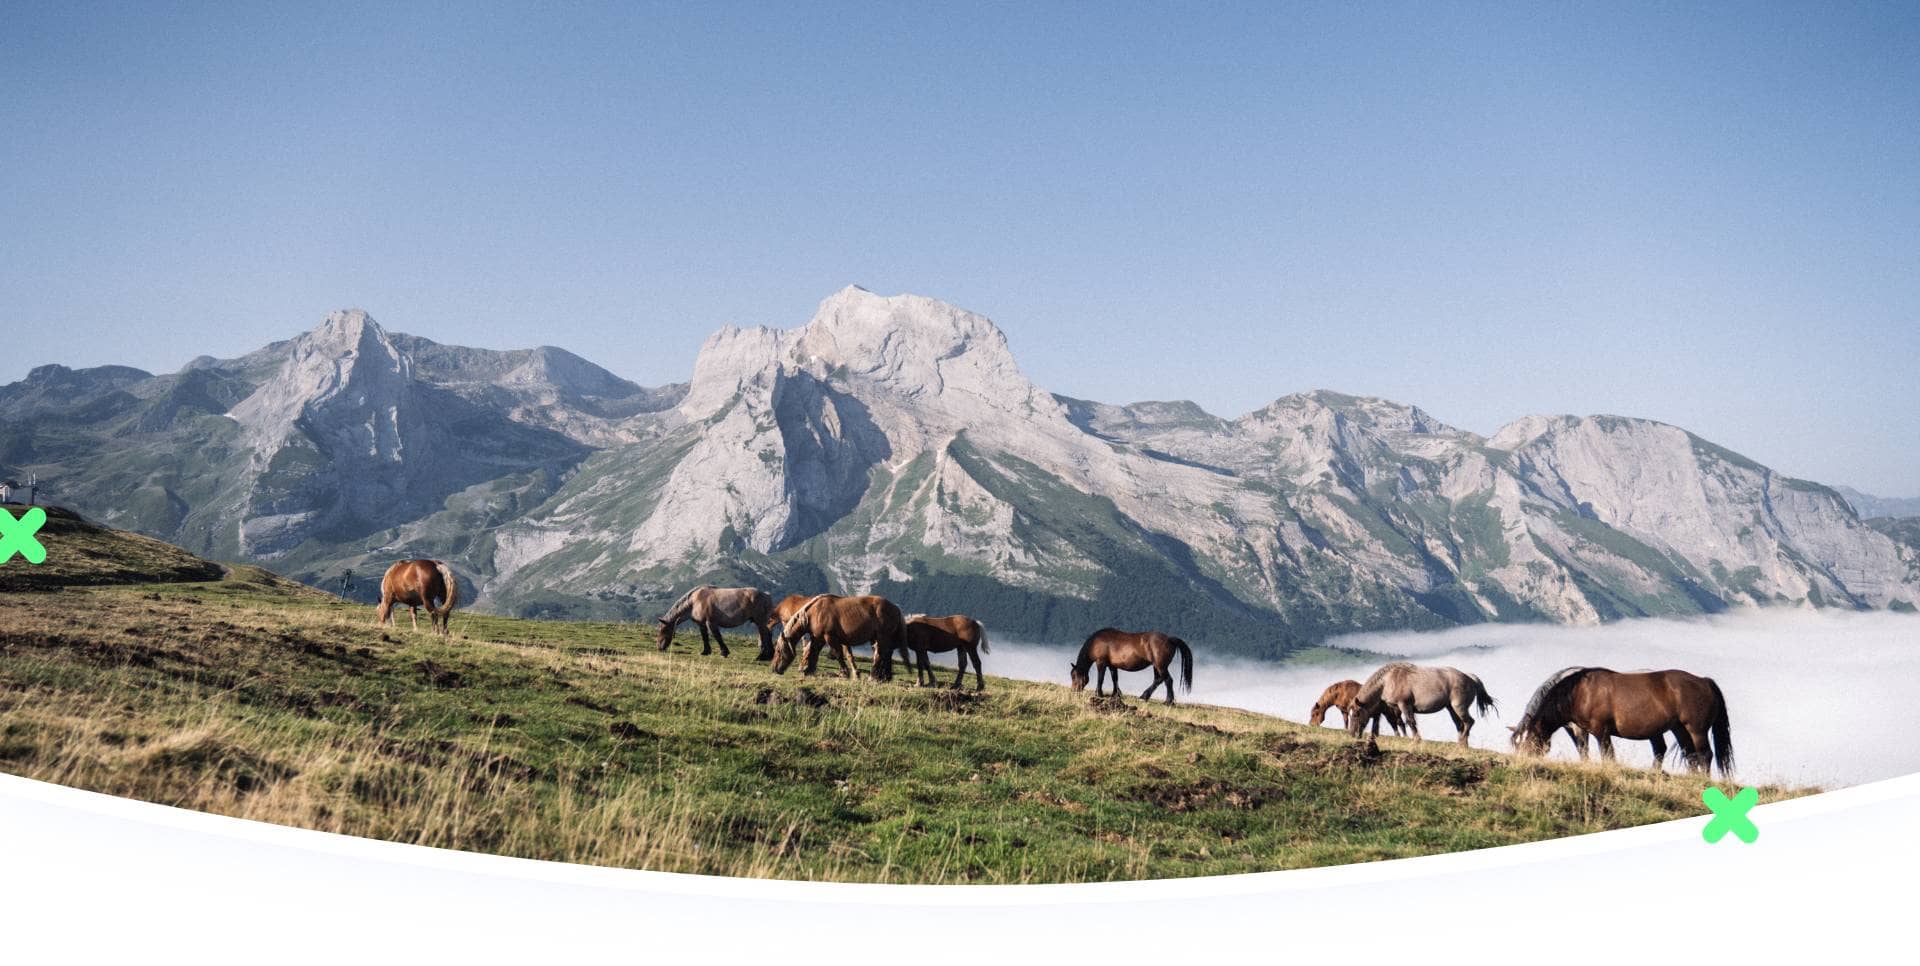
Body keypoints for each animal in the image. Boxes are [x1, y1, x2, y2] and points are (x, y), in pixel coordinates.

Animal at [768, 595, 910, 683]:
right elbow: (813, 652)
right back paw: (884, 677)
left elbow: (838, 655)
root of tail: (896, 608)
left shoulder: (829, 637)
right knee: (886, 655)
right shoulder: (818, 638)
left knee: (879, 655)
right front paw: (808, 670)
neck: (814, 613)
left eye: (779, 651)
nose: (774, 669)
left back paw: (873, 677)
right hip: (879, 639)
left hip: (881, 637)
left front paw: (844, 673)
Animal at [1059, 629, 1190, 706]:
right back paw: (1144, 696)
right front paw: (1116, 695)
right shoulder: (1112, 665)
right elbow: (1114, 679)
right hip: (1156, 666)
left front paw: (1098, 694)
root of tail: (1169, 639)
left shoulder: (1101, 663)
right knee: (1158, 680)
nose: (1074, 691)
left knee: (1168, 680)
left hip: (1160, 666)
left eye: (1074, 676)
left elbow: (1100, 679)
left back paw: (1168, 701)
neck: (1096, 642)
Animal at [1344, 664, 1489, 748]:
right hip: (1451, 708)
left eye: (1356, 714)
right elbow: (1403, 722)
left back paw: (1463, 741)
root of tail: (1470, 678)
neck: (1388, 680)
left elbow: (1410, 722)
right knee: (1460, 724)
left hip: (1459, 707)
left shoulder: (1404, 705)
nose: (1351, 733)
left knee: (1469, 722)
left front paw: (1416, 740)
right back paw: (1461, 744)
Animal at [1512, 664, 1743, 779]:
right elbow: (1584, 751)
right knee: (1691, 755)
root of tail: (1704, 681)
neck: (1579, 692)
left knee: (1705, 754)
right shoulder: (1583, 730)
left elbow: (1607, 756)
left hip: (1696, 729)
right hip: (1679, 729)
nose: (1521, 765)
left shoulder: (1601, 731)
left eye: (1530, 741)